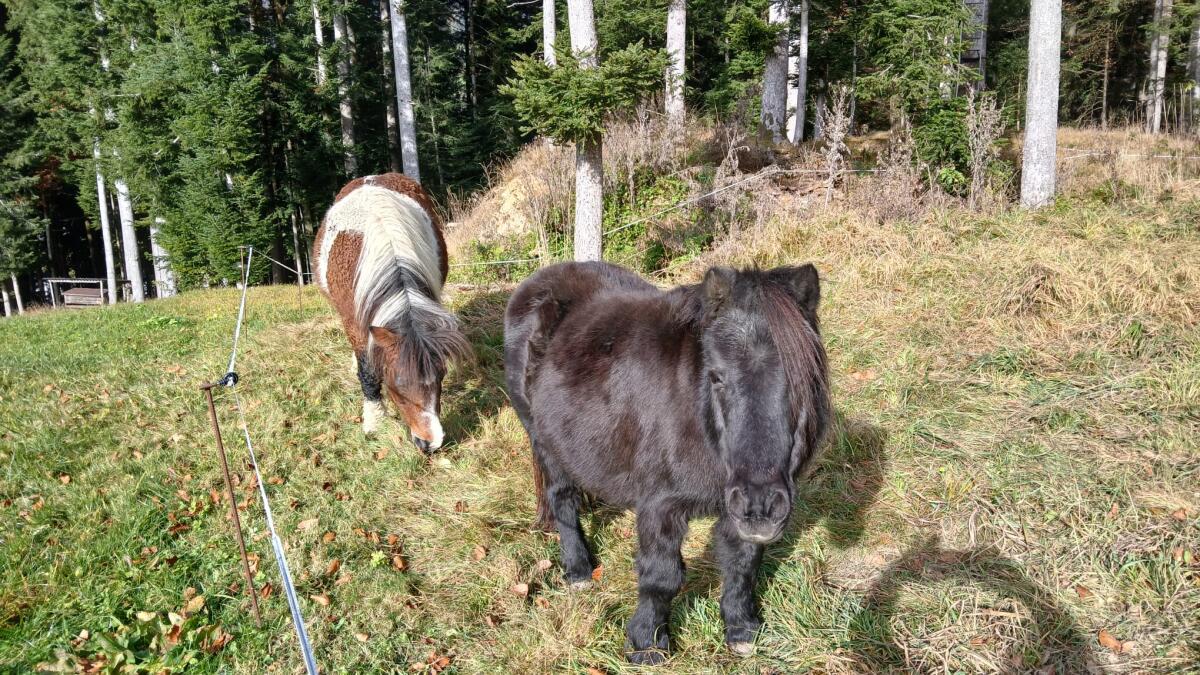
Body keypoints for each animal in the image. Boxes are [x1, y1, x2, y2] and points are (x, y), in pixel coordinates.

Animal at [314, 173, 470, 452]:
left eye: (441, 376)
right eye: (397, 386)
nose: (430, 443)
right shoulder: (354, 323)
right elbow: (367, 369)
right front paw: (374, 421)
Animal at [504, 261, 830, 664]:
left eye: (805, 376)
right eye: (716, 377)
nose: (761, 507)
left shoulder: (734, 506)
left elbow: (742, 563)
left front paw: (741, 629)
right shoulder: (661, 504)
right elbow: (661, 576)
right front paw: (647, 645)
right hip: (545, 443)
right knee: (562, 499)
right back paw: (579, 571)